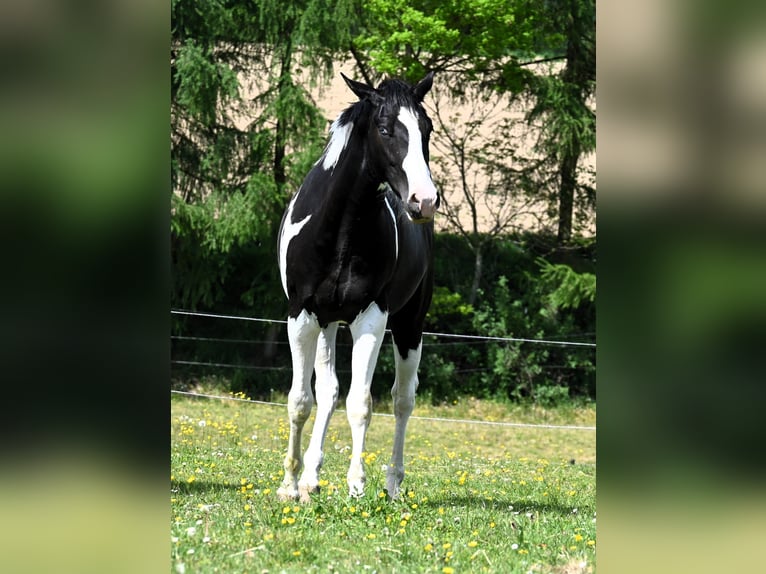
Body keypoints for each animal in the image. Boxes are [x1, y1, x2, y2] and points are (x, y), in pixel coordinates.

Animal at [276, 71, 439, 502]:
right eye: (385, 129)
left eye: (427, 129)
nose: (424, 201)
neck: (339, 229)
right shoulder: (302, 316)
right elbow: (301, 400)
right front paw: (291, 484)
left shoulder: (372, 319)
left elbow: (361, 403)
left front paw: (356, 482)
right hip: (329, 324)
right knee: (328, 392)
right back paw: (311, 478)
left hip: (409, 326)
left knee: (402, 400)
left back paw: (393, 482)